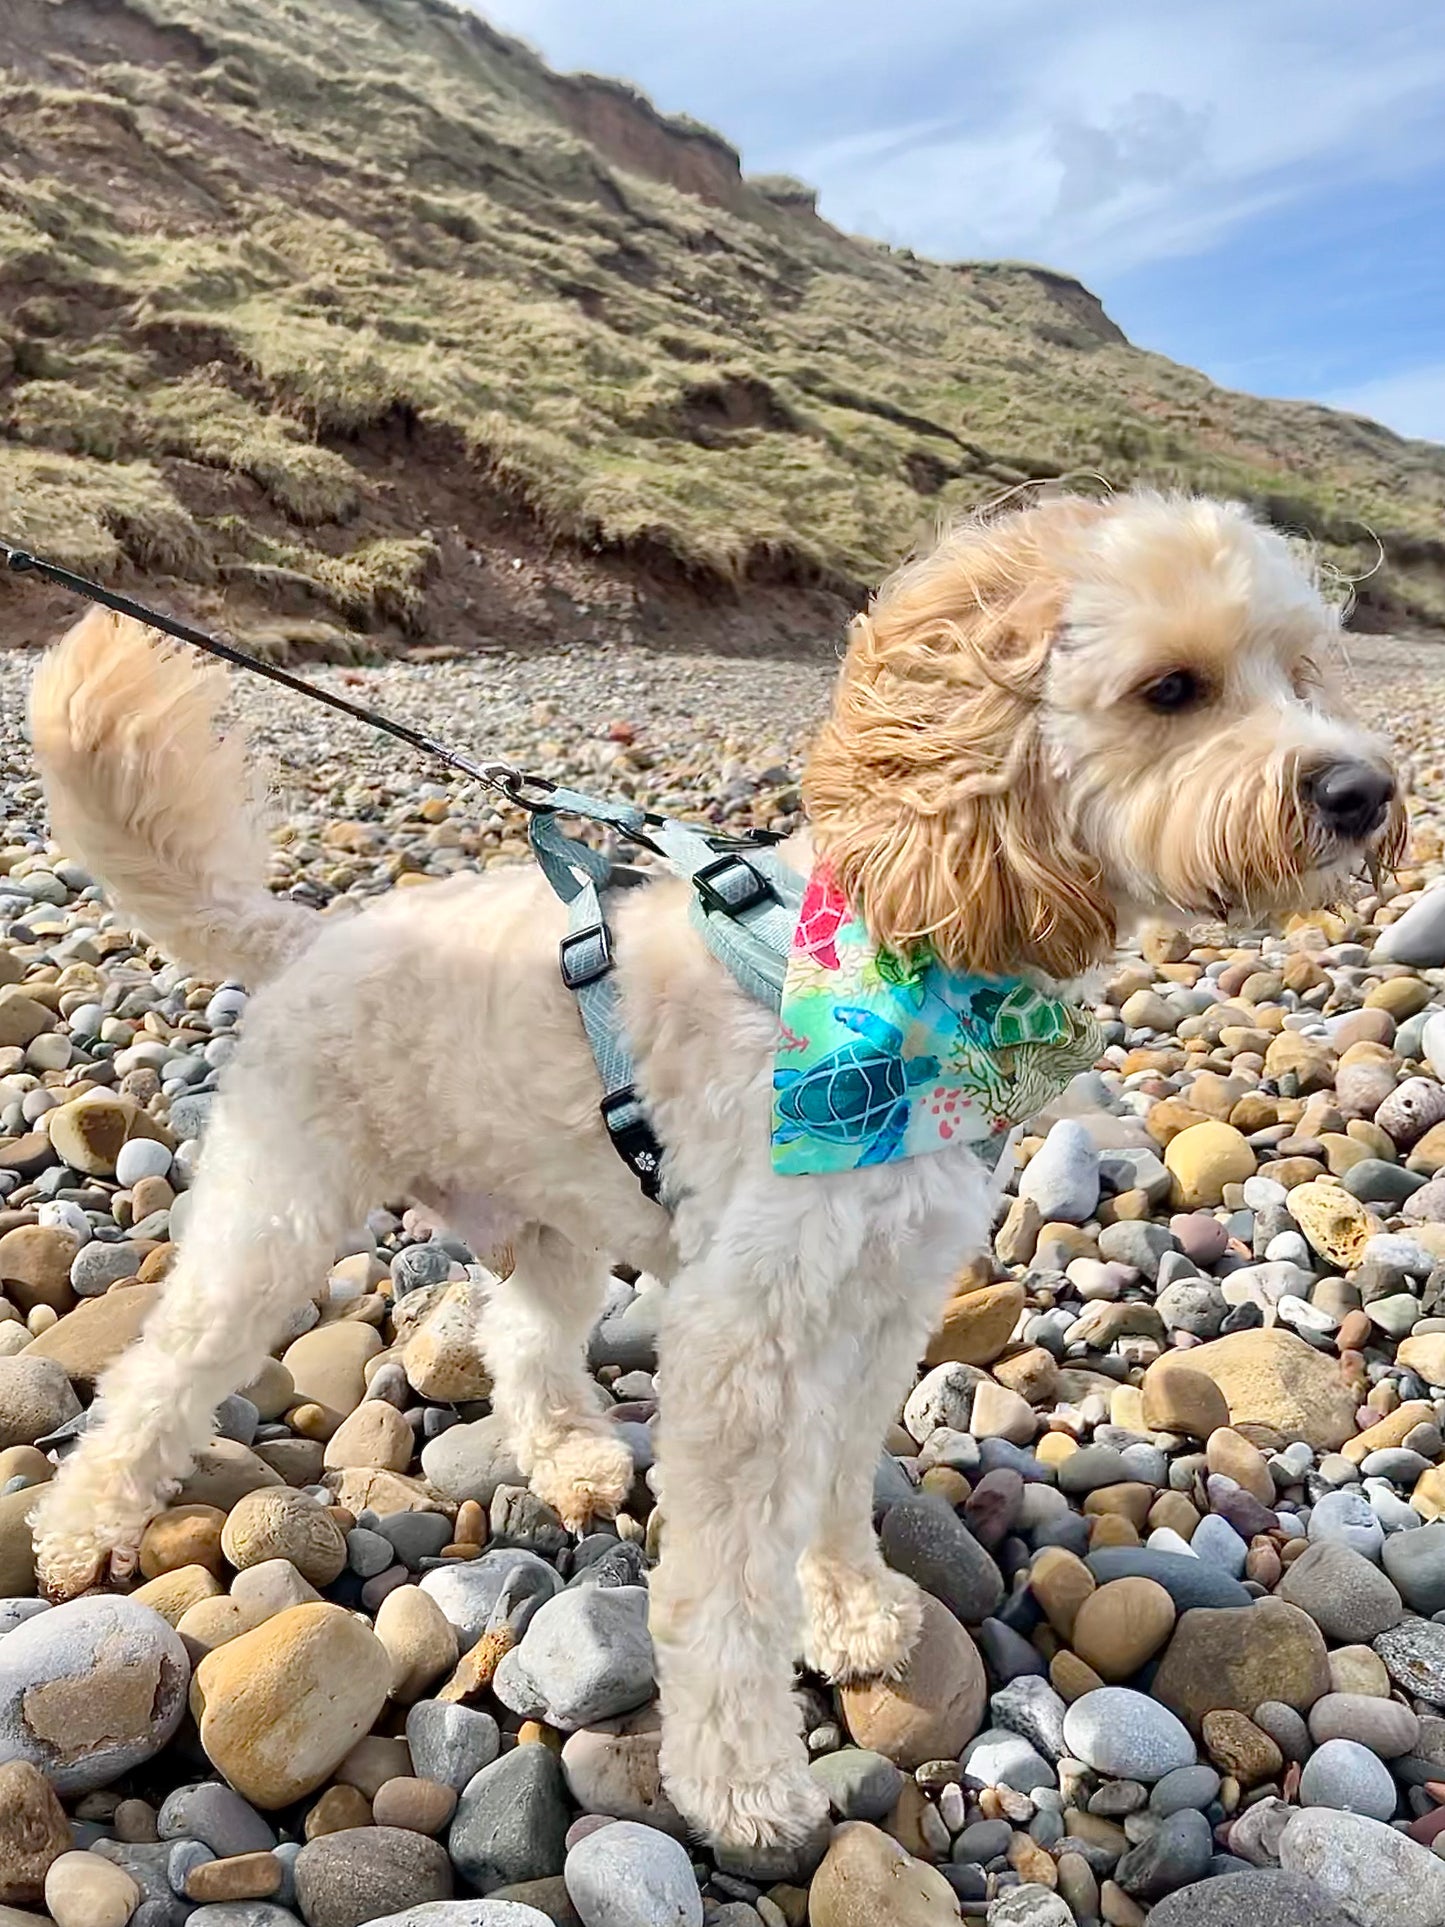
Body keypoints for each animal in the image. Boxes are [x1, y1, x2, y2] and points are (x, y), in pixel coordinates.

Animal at [22, 493, 1402, 1849]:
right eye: (1171, 688)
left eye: (1297, 668)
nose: (1365, 788)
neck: (903, 966)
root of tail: (304, 935)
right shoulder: (749, 1336)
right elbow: (727, 1582)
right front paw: (739, 1776)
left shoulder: (881, 1301)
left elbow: (835, 1482)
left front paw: (849, 1608)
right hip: (277, 1206)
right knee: (161, 1369)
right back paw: (82, 1529)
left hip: (556, 1219)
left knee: (520, 1339)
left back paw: (572, 1459)